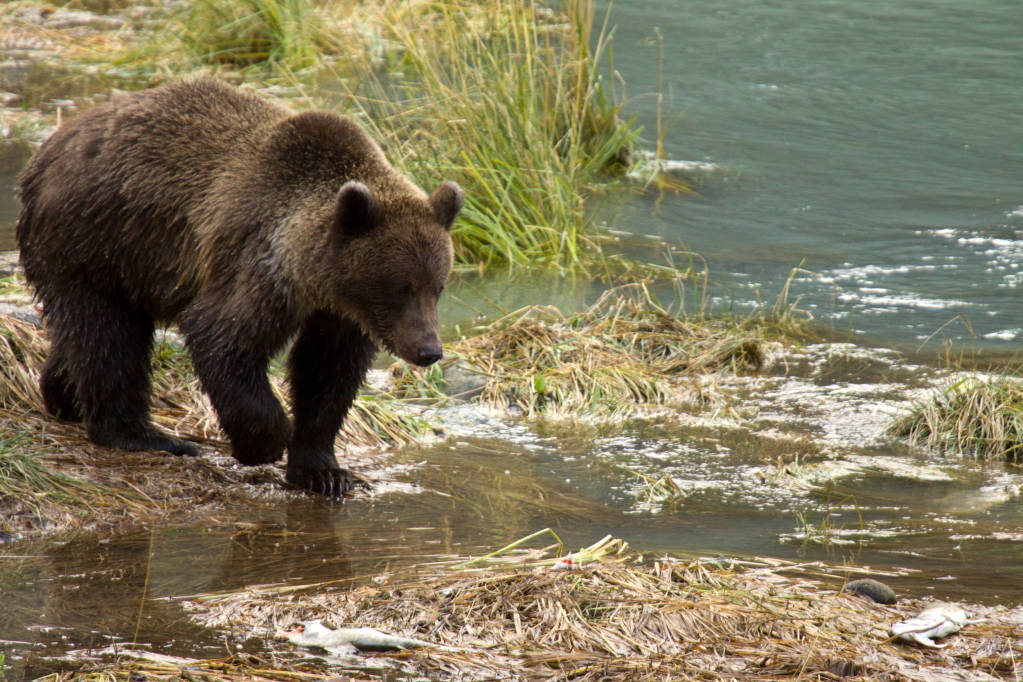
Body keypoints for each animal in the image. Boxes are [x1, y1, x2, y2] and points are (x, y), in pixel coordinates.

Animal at [14, 80, 464, 496]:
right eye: (401, 287)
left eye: (438, 286)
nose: (428, 350)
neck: (315, 276)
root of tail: (46, 151)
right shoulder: (260, 265)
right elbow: (223, 336)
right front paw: (263, 442)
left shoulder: (338, 312)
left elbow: (327, 373)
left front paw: (325, 472)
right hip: (95, 238)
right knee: (107, 335)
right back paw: (146, 436)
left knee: (89, 334)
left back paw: (62, 394)